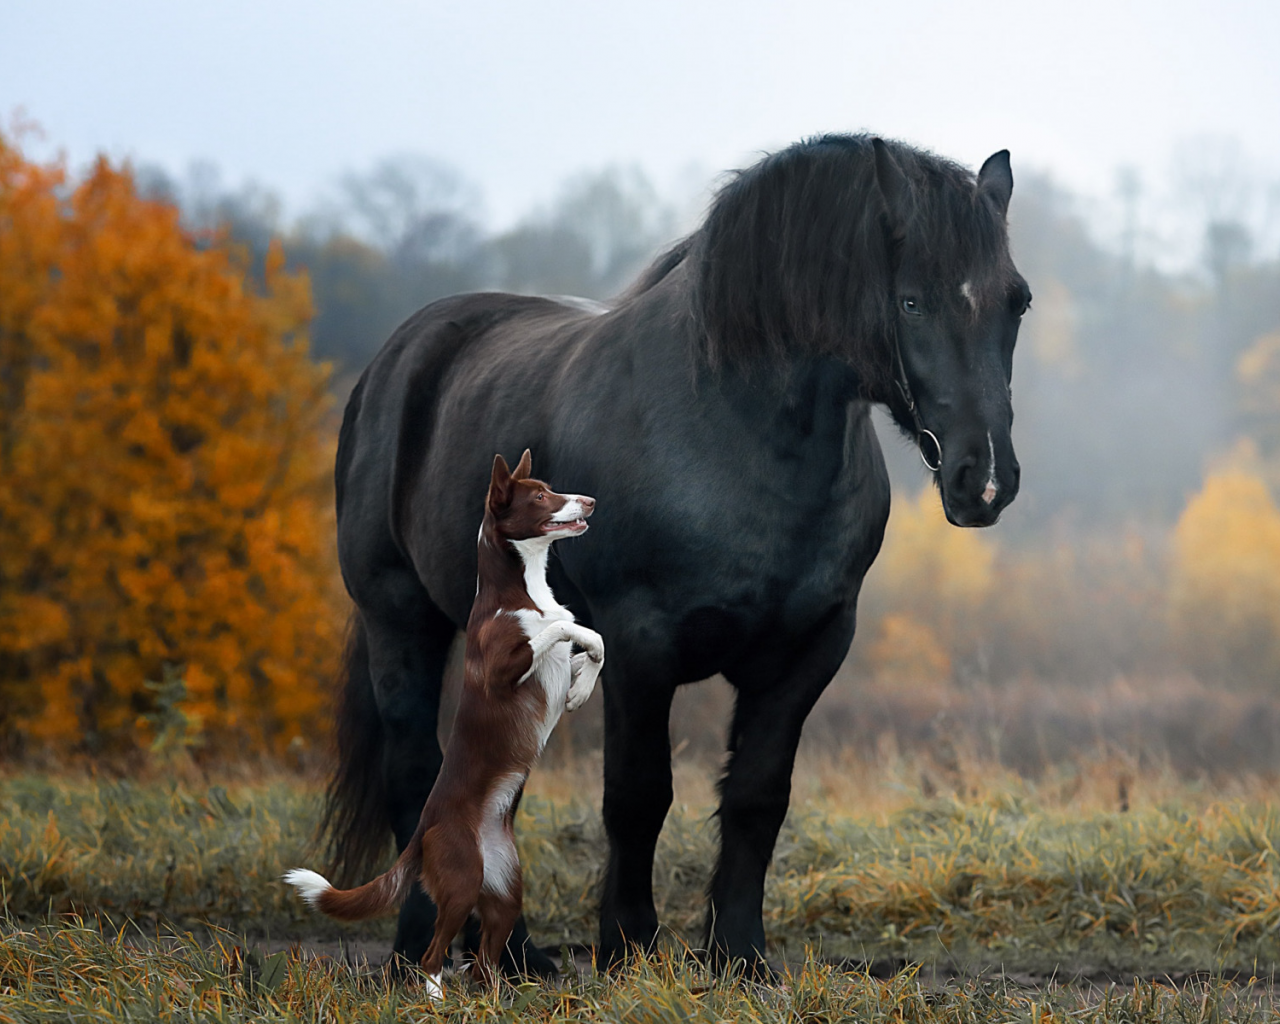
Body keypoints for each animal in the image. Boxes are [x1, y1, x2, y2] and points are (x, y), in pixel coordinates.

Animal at [282, 453, 601, 998]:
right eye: (540, 496)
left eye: (551, 488)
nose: (591, 501)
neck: (522, 589)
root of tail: (425, 829)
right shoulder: (502, 668)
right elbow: (562, 625)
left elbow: (591, 640)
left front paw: (582, 685)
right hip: (460, 880)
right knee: (434, 955)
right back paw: (437, 998)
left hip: (505, 890)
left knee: (485, 959)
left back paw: (493, 1000)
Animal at [320, 131, 1029, 972]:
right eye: (912, 300)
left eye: (1016, 301)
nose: (984, 479)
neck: (737, 429)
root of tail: (398, 359)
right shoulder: (639, 644)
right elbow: (639, 793)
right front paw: (629, 944)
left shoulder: (811, 649)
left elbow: (758, 795)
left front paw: (740, 954)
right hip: (400, 620)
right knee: (415, 772)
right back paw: (419, 946)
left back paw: (515, 955)